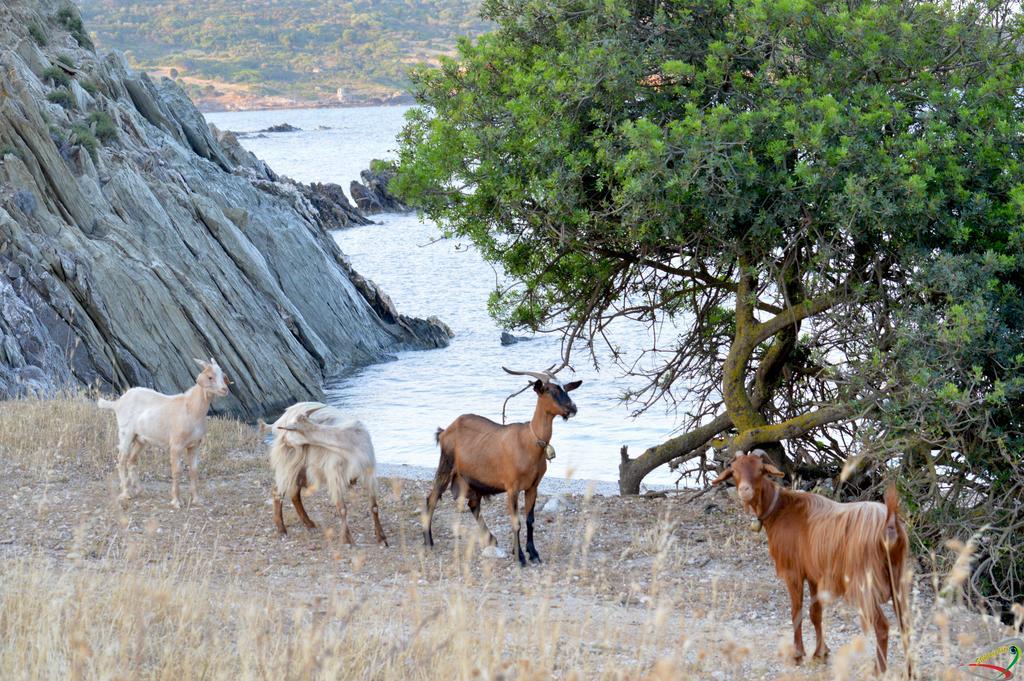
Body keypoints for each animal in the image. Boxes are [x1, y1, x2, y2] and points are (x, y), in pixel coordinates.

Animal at [96, 358, 230, 507]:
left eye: (223, 376)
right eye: (210, 377)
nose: (225, 389)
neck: (191, 408)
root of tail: (118, 402)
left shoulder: (195, 444)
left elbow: (194, 471)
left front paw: (197, 500)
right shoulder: (176, 444)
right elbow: (177, 471)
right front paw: (176, 501)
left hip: (140, 439)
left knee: (132, 460)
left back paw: (141, 491)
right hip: (126, 433)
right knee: (121, 460)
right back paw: (126, 493)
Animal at [264, 401, 387, 544]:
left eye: (289, 431)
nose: (284, 441)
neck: (350, 440)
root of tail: (277, 422)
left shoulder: (369, 472)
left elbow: (374, 507)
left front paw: (381, 537)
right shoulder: (335, 474)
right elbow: (342, 509)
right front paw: (347, 540)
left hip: (301, 467)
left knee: (294, 493)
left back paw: (309, 524)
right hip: (289, 463)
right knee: (278, 491)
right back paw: (281, 529)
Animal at [421, 366, 585, 561]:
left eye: (566, 389)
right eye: (550, 390)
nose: (573, 408)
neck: (530, 442)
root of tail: (445, 431)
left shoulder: (532, 487)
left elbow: (530, 520)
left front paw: (533, 553)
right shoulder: (512, 488)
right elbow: (516, 522)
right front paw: (520, 557)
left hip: (471, 478)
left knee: (473, 504)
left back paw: (491, 539)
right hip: (446, 465)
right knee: (432, 498)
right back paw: (428, 541)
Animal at [712, 448, 913, 675]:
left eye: (760, 470)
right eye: (735, 471)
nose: (745, 491)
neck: (781, 510)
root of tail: (889, 523)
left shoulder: (793, 572)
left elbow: (796, 611)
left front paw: (798, 654)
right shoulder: (815, 575)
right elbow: (815, 612)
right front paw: (820, 653)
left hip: (865, 583)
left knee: (882, 626)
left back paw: (879, 670)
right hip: (897, 577)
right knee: (905, 623)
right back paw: (910, 670)